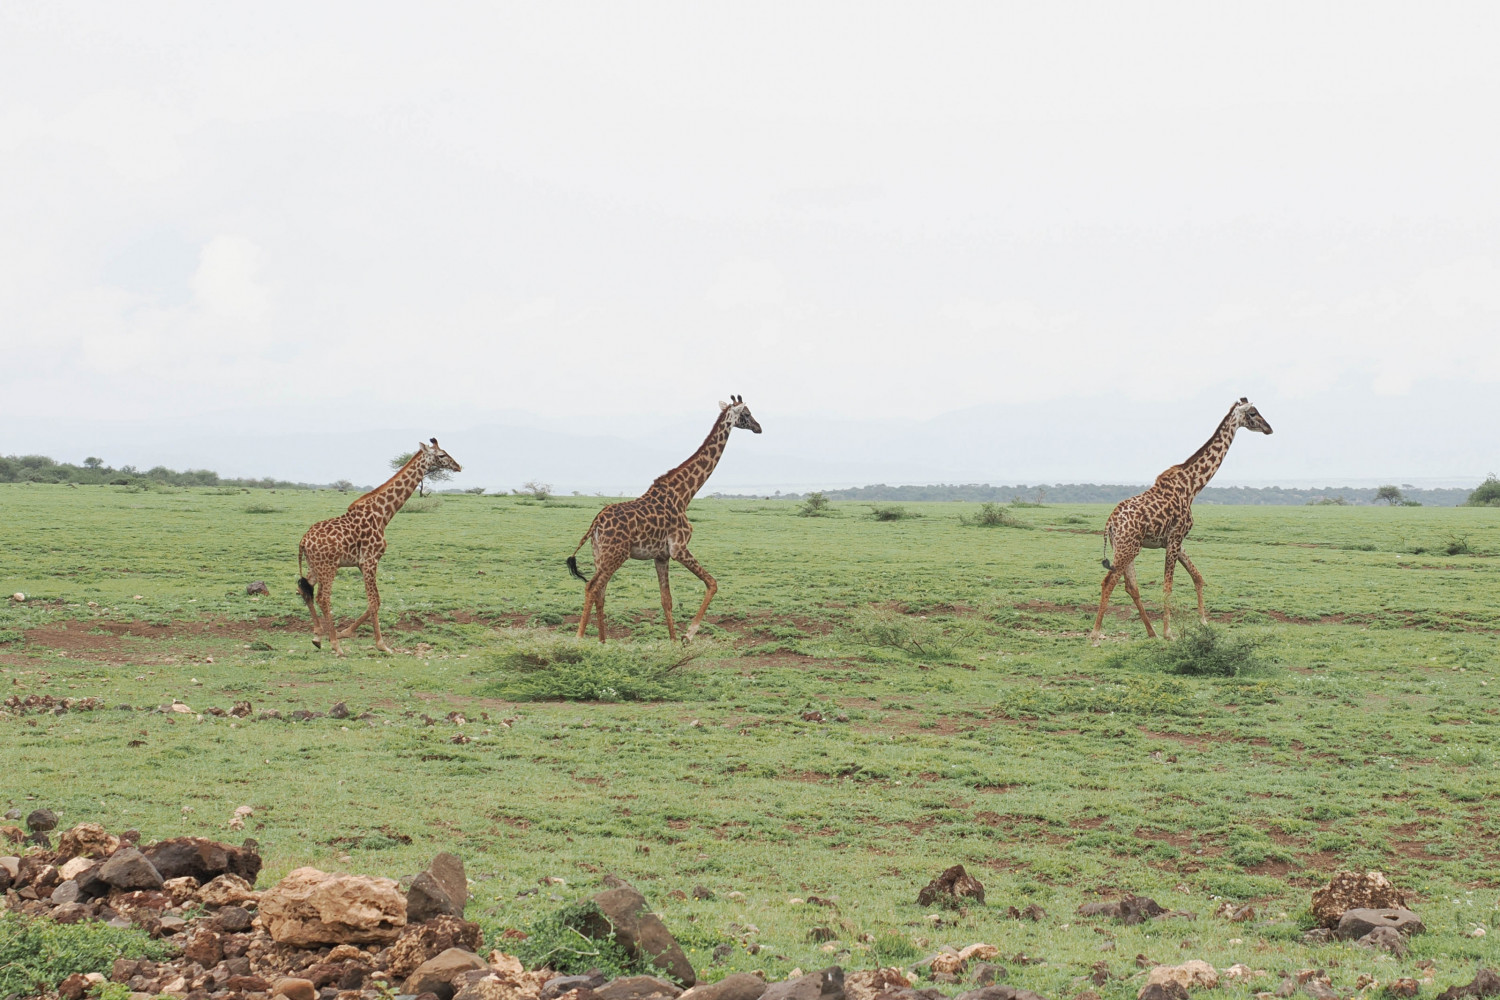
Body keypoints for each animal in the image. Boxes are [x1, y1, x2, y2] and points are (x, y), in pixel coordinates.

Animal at [296, 438, 462, 656]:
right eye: (441, 455)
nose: (458, 466)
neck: (382, 514)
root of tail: (303, 541)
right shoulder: (370, 560)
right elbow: (374, 601)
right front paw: (382, 644)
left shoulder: (362, 563)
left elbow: (375, 601)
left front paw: (346, 631)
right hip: (328, 566)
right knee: (323, 597)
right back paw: (336, 645)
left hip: (314, 566)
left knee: (304, 590)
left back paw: (318, 636)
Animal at [566, 396, 762, 642]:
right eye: (746, 413)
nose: (758, 427)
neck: (684, 494)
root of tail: (596, 523)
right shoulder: (679, 548)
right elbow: (712, 583)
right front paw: (688, 635)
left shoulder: (661, 555)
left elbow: (666, 600)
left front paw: (674, 642)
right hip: (615, 555)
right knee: (592, 587)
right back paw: (578, 639)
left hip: (600, 555)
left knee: (600, 591)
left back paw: (602, 642)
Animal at [1088, 398, 1273, 646]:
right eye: (1253, 413)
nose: (1268, 428)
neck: (1192, 486)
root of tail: (1110, 524)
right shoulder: (1175, 539)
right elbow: (1168, 586)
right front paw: (1170, 632)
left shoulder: (1175, 541)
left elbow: (1198, 577)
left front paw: (1203, 622)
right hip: (1127, 548)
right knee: (1109, 581)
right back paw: (1096, 634)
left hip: (1128, 547)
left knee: (1130, 586)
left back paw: (1151, 632)